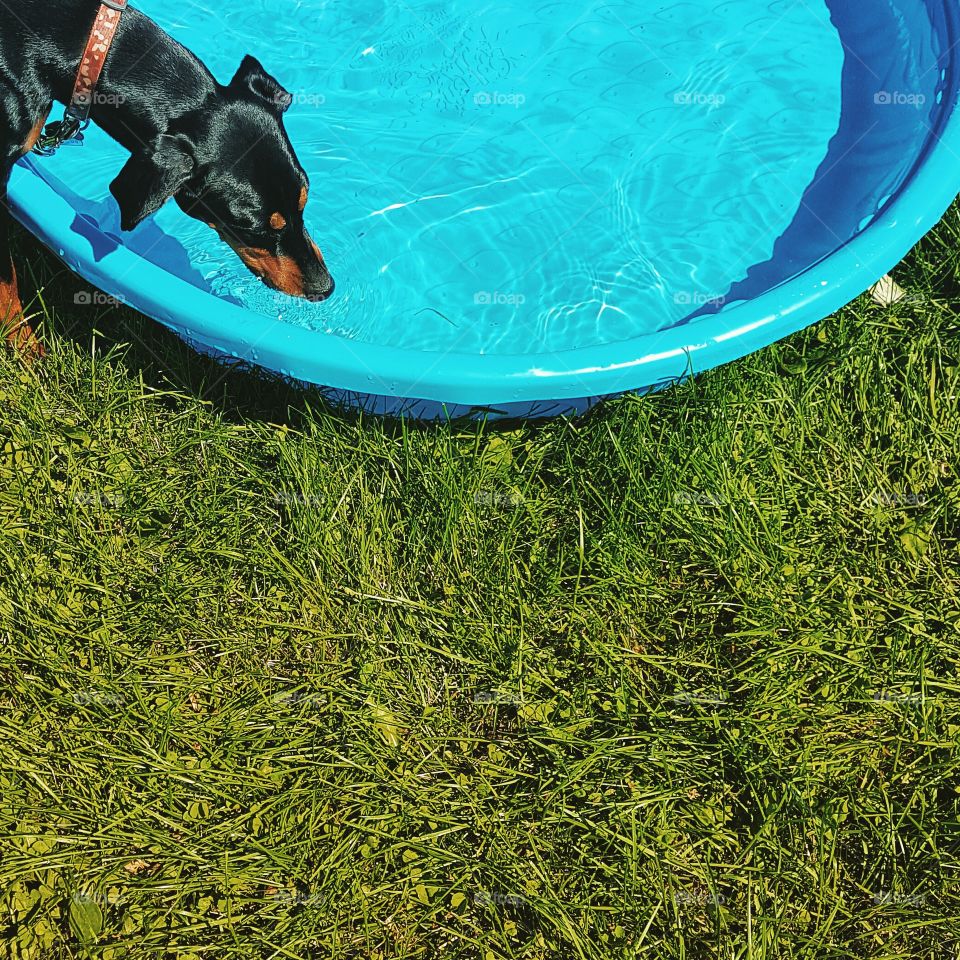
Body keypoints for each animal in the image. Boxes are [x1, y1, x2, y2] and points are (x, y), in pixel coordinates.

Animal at [0, 0, 336, 356]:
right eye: (250, 229)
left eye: (304, 201)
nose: (325, 287)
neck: (89, 45)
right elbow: (7, 280)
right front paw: (22, 345)